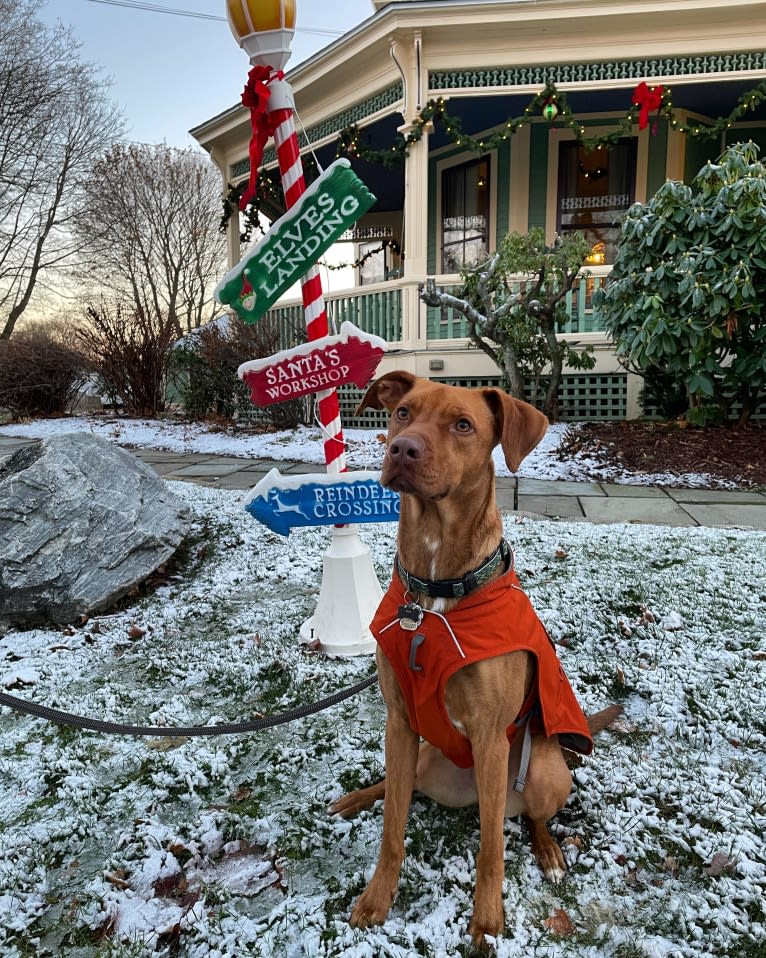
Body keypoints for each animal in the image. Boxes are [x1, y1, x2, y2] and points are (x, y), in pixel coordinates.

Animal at [332, 372, 620, 948]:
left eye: (463, 425)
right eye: (402, 412)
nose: (402, 448)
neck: (434, 592)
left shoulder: (488, 736)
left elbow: (491, 849)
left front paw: (487, 921)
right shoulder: (400, 722)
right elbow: (392, 826)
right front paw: (377, 898)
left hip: (544, 773)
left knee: (526, 818)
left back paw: (548, 850)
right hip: (428, 761)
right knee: (404, 789)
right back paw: (356, 799)